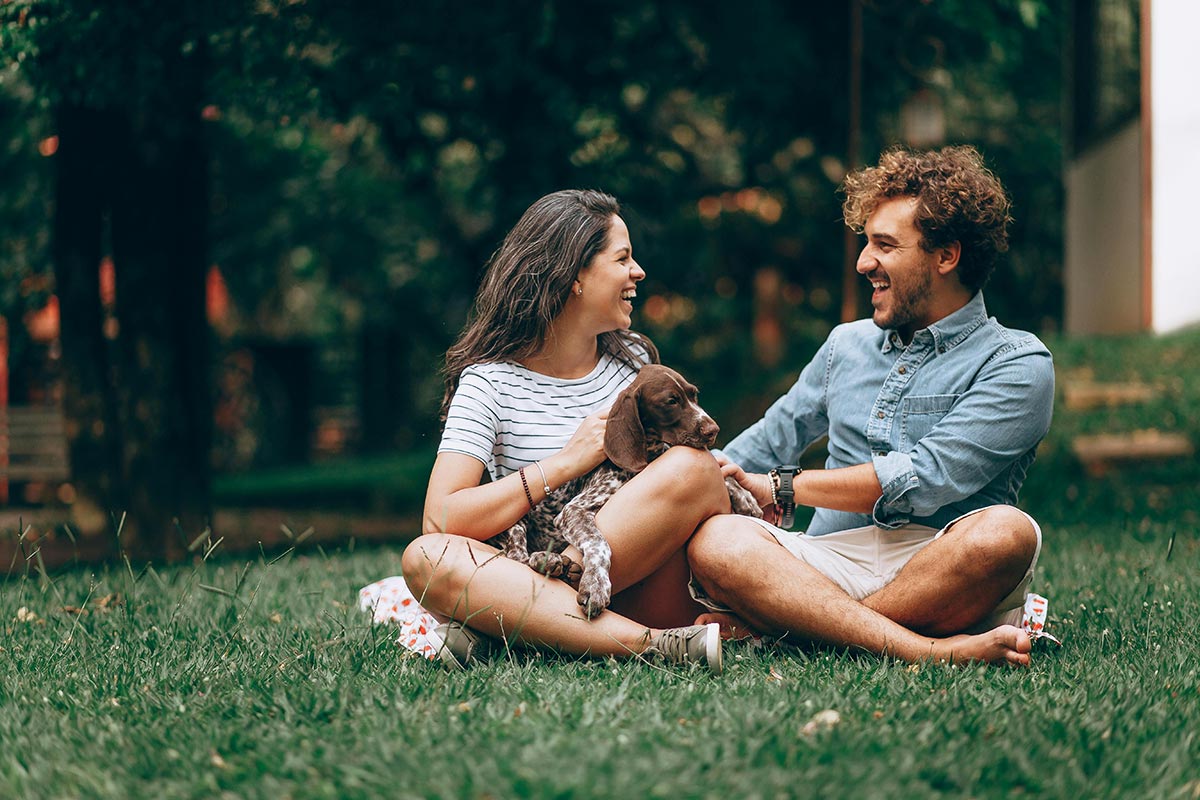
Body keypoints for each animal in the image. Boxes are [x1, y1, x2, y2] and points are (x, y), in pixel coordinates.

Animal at [487, 362, 758, 618]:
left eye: (694, 395)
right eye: (671, 401)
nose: (713, 430)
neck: (647, 458)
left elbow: (721, 470)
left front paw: (745, 498)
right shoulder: (573, 511)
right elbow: (599, 543)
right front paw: (596, 585)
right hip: (515, 522)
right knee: (516, 557)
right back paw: (546, 559)